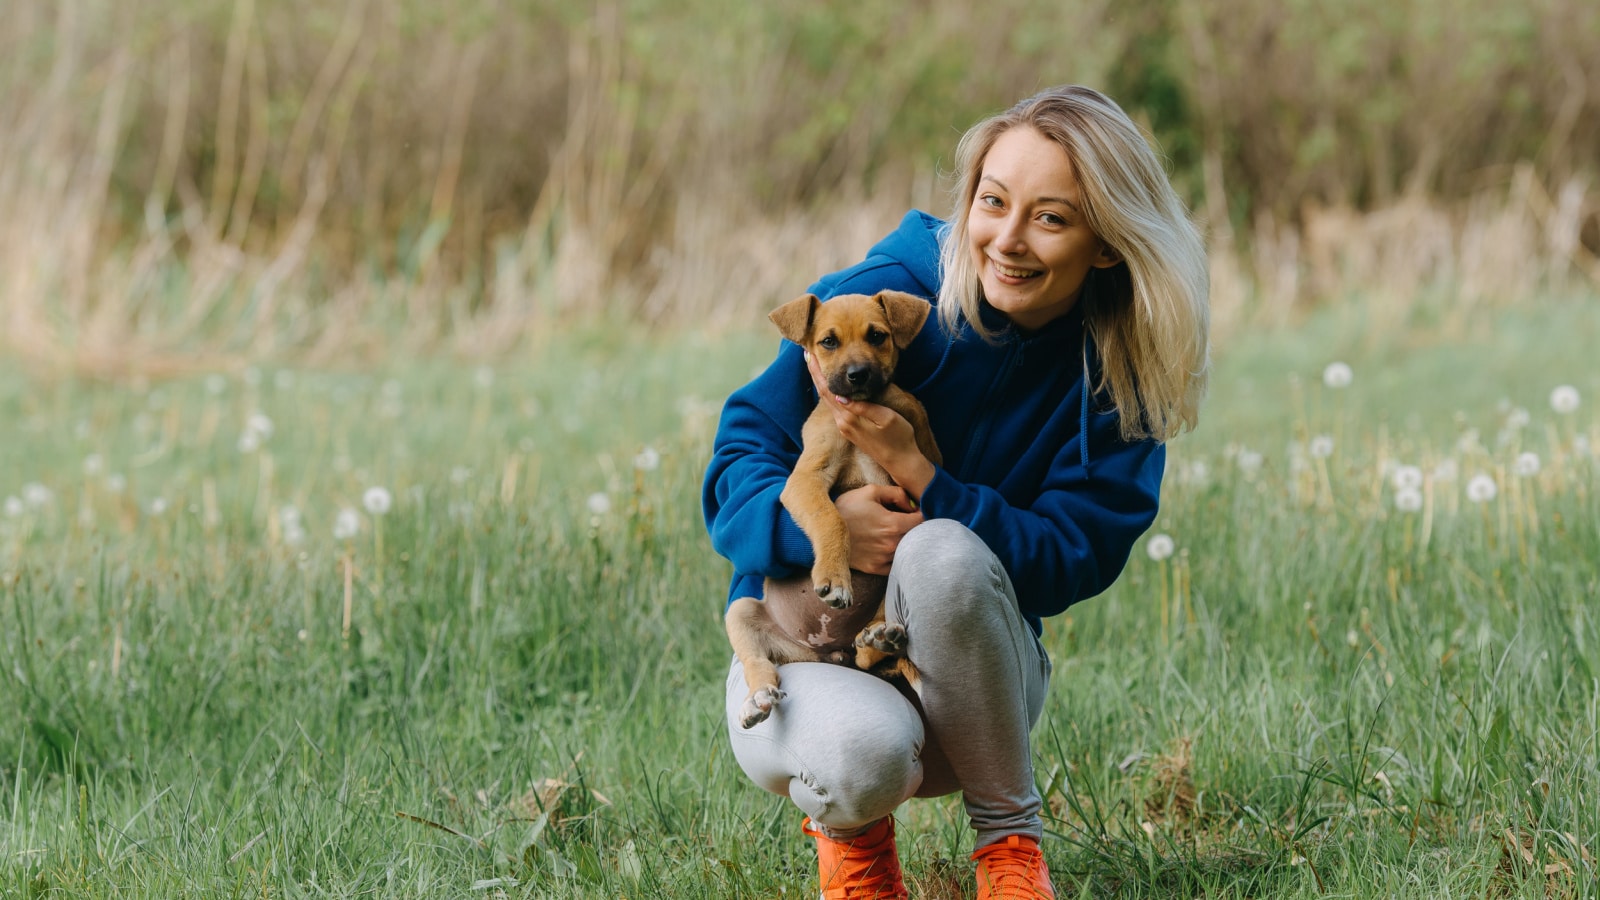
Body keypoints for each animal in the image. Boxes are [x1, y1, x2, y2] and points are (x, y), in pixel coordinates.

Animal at [723, 291, 934, 723]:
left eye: (877, 336)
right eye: (828, 342)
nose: (857, 375)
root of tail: (830, 654)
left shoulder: (911, 478)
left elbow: (912, 413)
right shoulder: (806, 480)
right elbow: (831, 517)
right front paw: (836, 579)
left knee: (869, 653)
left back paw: (882, 638)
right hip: (742, 612)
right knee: (760, 664)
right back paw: (759, 698)